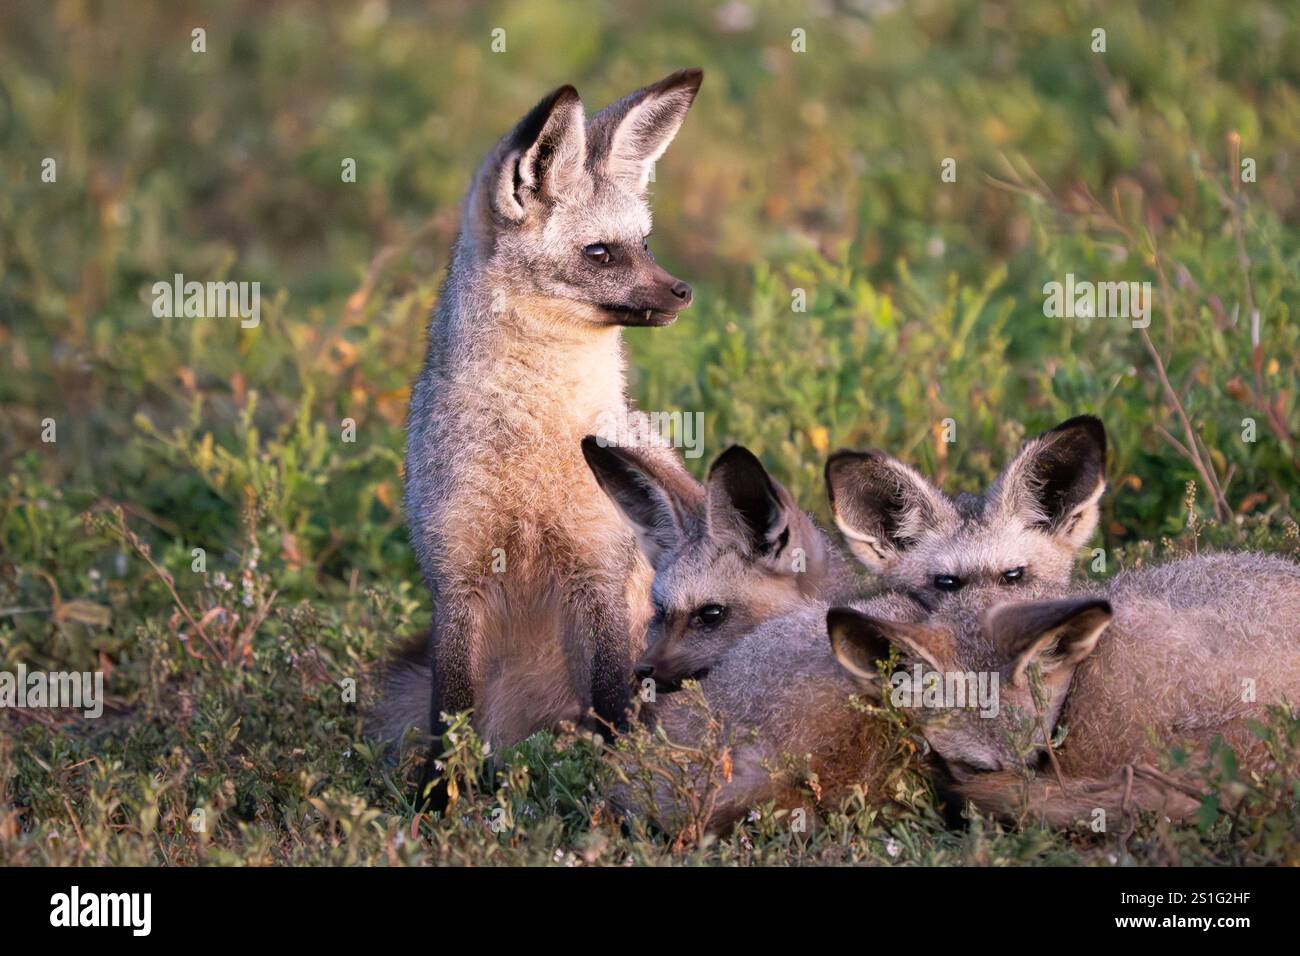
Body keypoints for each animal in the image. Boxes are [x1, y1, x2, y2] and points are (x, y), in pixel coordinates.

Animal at [379, 71, 705, 779]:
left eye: (645, 244)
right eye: (600, 253)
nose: (684, 292)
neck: (532, 450)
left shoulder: (600, 572)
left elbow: (612, 707)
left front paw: (613, 784)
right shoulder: (456, 581)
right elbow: (449, 723)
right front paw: (438, 796)